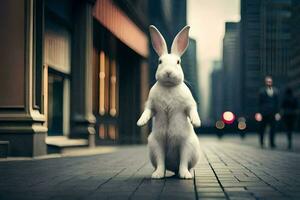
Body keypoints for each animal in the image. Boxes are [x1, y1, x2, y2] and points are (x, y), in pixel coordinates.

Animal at [137, 25, 200, 180]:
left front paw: (196, 122)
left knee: (184, 163)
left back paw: (186, 175)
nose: (168, 73)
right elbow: (147, 111)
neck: (169, 86)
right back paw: (157, 175)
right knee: (161, 163)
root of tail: (173, 167)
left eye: (178, 62)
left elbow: (192, 109)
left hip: (187, 145)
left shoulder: (189, 103)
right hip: (156, 145)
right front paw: (140, 122)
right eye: (160, 61)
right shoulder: (151, 104)